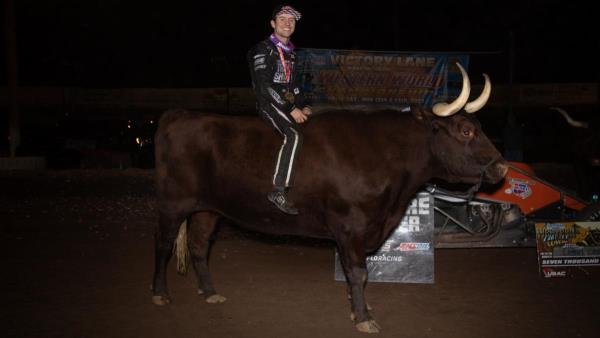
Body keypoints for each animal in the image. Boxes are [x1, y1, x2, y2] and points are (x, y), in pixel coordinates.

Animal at [151, 63, 506, 332]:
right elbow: (358, 272)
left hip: (208, 209)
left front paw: (357, 307)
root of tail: (181, 114)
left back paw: (210, 293)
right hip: (172, 202)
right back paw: (159, 294)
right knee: (164, 245)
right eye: (465, 131)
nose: (501, 167)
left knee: (199, 246)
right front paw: (364, 317)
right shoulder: (350, 225)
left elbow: (356, 273)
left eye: (478, 127)